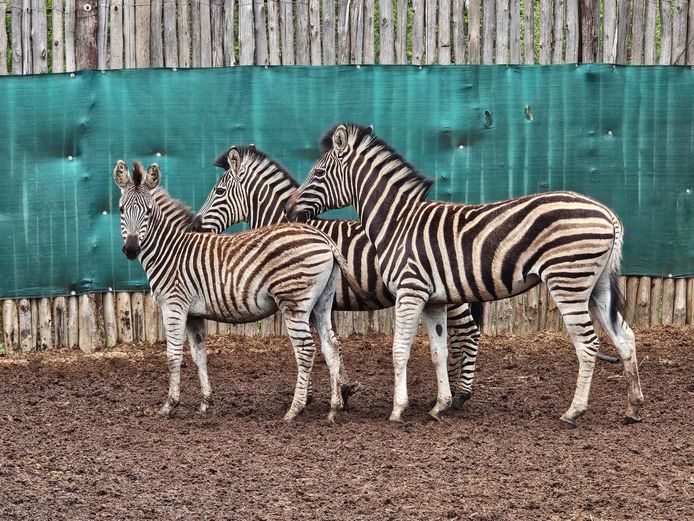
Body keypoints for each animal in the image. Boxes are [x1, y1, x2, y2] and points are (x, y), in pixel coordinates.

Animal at [114, 159, 367, 423]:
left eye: (148, 212)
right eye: (121, 210)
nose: (131, 249)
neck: (169, 251)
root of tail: (323, 238)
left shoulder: (174, 306)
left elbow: (173, 355)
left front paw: (169, 405)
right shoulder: (193, 314)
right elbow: (199, 355)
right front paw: (205, 403)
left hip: (294, 301)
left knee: (306, 350)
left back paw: (293, 410)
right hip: (321, 303)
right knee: (331, 346)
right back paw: (334, 408)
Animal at [191, 144, 482, 409]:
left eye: (218, 191)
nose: (194, 224)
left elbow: (314, 345)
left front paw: (313, 395)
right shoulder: (323, 303)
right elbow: (333, 343)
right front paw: (344, 390)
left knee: (468, 333)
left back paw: (460, 395)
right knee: (459, 336)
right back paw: (450, 390)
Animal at [285, 123, 644, 427]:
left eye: (318, 172)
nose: (290, 211)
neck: (397, 223)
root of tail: (608, 213)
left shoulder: (410, 291)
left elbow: (399, 350)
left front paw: (398, 409)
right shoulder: (434, 300)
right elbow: (438, 352)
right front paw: (439, 406)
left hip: (568, 281)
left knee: (587, 344)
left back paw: (573, 412)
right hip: (597, 285)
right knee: (625, 338)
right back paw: (633, 408)